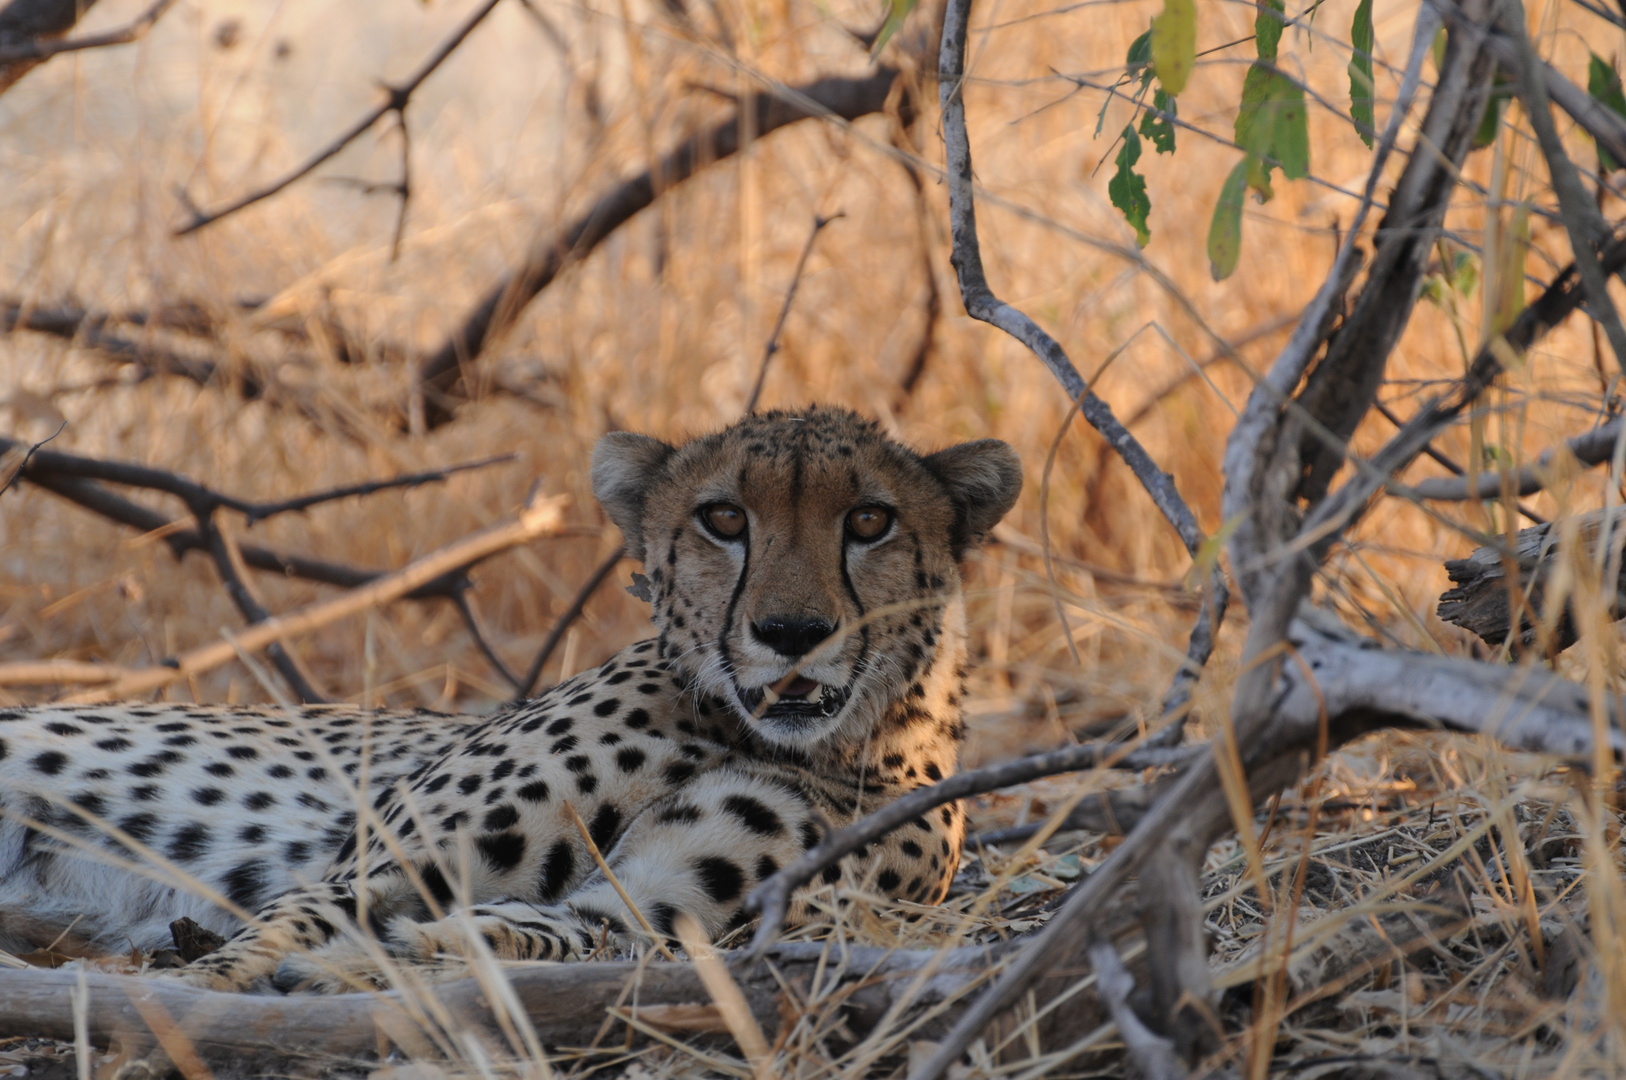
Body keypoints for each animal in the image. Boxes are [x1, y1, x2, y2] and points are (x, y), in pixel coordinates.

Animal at [0, 409, 1014, 988]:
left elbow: (546, 933)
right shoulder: (380, 863)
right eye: (724, 519)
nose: (792, 632)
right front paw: (210, 989)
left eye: (870, 520)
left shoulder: (659, 914)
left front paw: (388, 963)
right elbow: (287, 927)